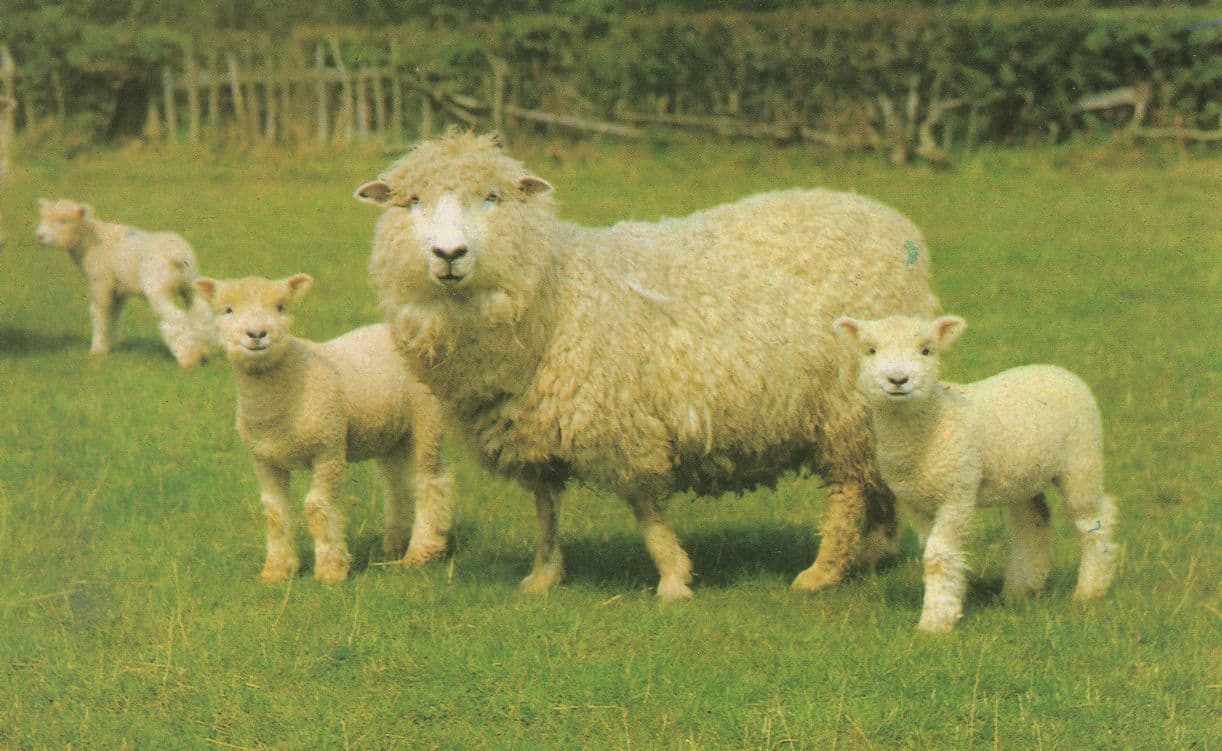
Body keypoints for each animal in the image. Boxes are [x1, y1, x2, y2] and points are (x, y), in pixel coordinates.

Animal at [35, 198, 213, 368]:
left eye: (63, 221)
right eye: (43, 218)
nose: (40, 236)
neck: (90, 242)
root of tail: (178, 255)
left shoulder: (100, 282)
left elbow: (99, 314)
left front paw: (97, 350)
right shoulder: (118, 289)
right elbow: (113, 315)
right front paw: (112, 345)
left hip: (158, 287)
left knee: (176, 318)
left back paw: (188, 359)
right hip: (190, 285)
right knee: (201, 314)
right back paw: (204, 352)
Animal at [193, 274, 453, 583]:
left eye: (281, 307)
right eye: (227, 310)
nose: (257, 334)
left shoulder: (328, 449)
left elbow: (317, 508)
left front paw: (331, 569)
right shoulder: (265, 459)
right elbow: (275, 513)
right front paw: (277, 570)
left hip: (427, 420)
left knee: (429, 483)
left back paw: (422, 551)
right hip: (390, 435)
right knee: (396, 485)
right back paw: (394, 543)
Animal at [355, 131, 940, 601]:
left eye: (491, 198)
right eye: (412, 202)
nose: (448, 254)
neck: (555, 290)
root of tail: (894, 225)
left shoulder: (624, 422)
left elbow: (644, 506)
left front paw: (674, 579)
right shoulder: (532, 428)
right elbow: (545, 508)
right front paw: (543, 576)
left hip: (844, 404)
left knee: (848, 491)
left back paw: (823, 571)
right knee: (874, 483)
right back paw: (874, 555)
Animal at [833, 314, 1119, 632]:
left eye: (926, 350)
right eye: (871, 350)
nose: (897, 380)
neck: (931, 422)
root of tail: (1054, 369)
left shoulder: (957, 492)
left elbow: (939, 557)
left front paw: (935, 622)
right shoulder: (918, 502)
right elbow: (932, 554)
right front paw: (943, 605)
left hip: (1081, 458)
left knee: (1094, 519)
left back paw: (1090, 589)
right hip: (1021, 475)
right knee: (1033, 523)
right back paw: (1020, 590)